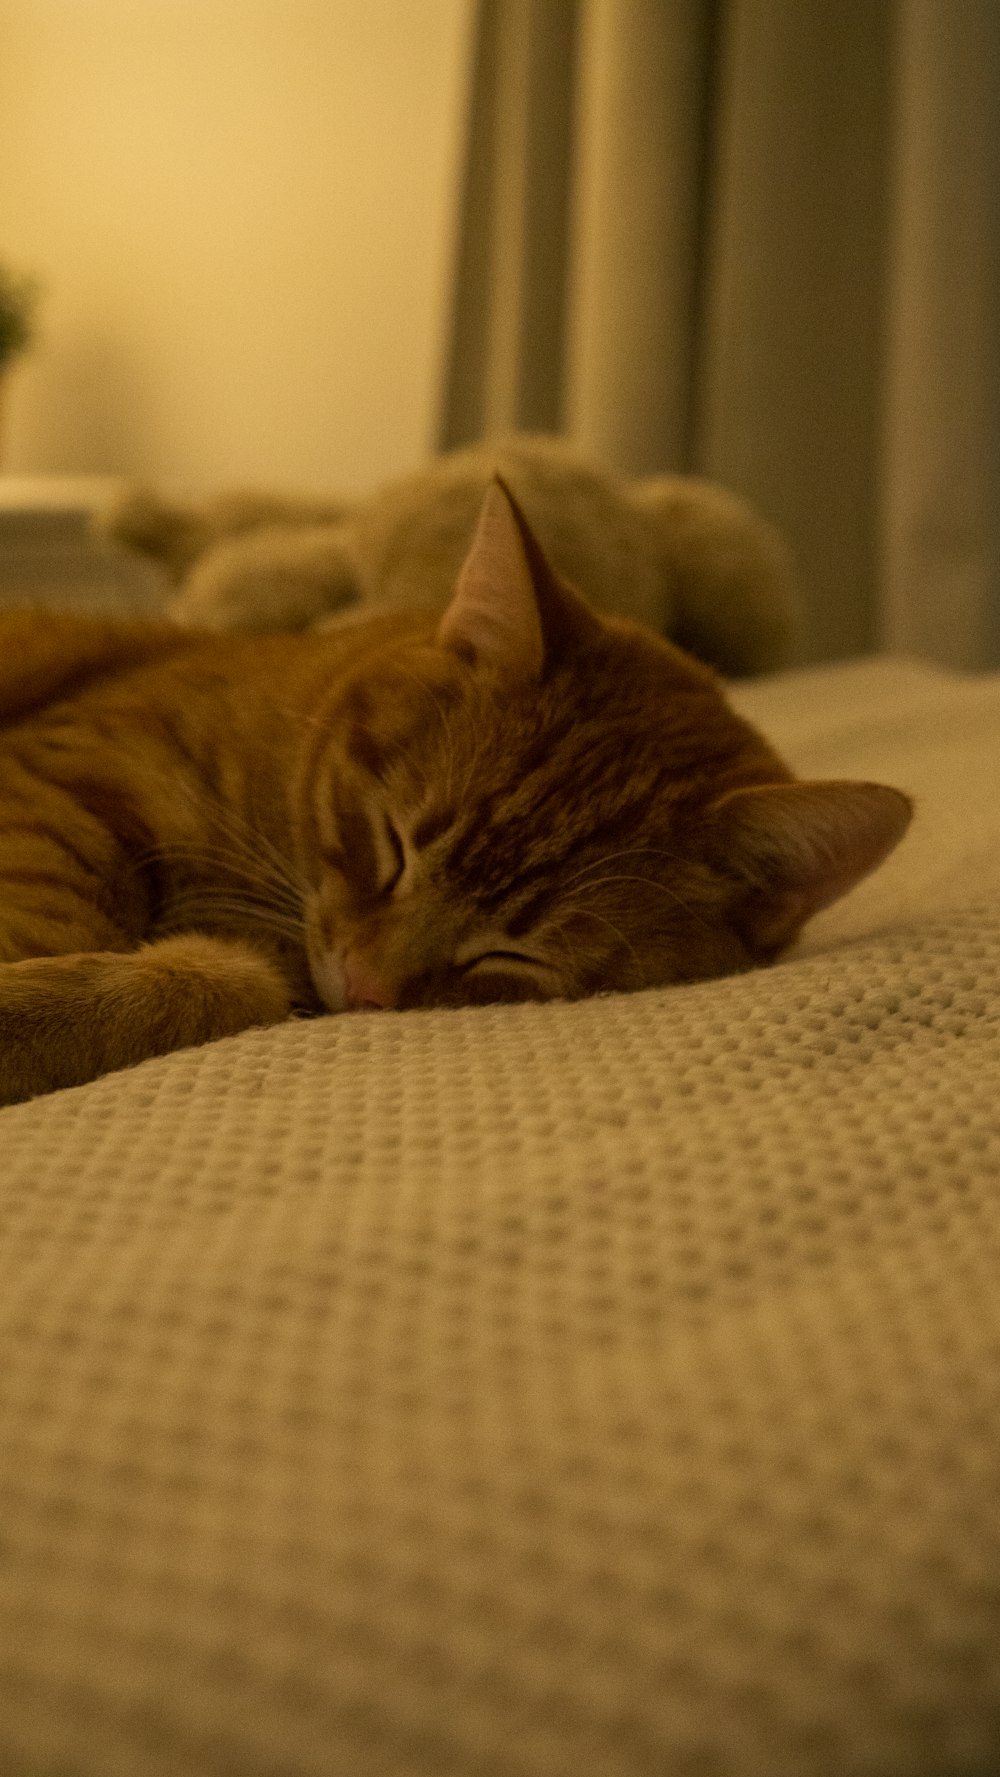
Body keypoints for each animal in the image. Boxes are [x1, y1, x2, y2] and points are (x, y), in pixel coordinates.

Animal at [0, 479, 909, 1101]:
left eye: (513, 954)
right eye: (393, 845)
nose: (365, 986)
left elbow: (212, 980)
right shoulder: (67, 777)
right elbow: (55, 906)